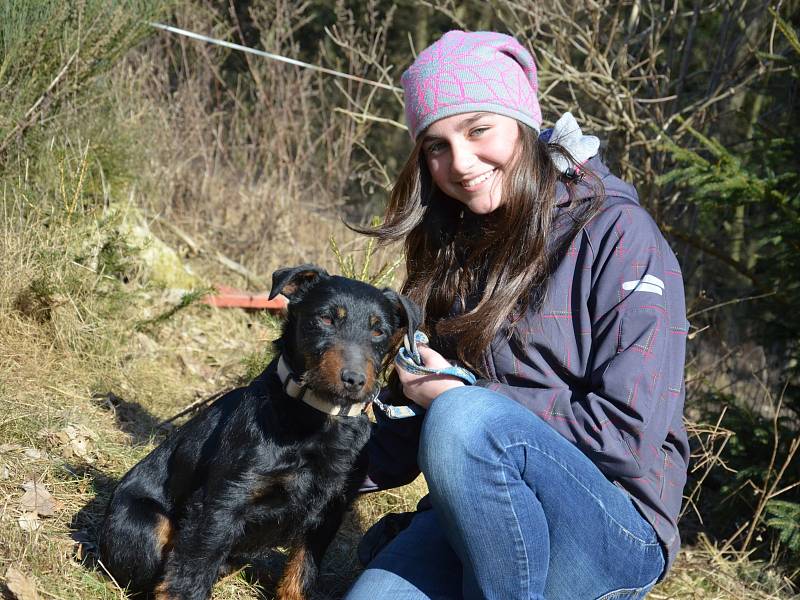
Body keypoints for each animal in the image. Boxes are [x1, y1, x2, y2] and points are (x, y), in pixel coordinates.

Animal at [101, 266, 418, 600]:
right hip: (147, 524)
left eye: (379, 331)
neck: (317, 417)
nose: (354, 380)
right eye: (326, 318)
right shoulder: (223, 502)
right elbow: (191, 572)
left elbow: (301, 574)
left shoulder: (330, 511)